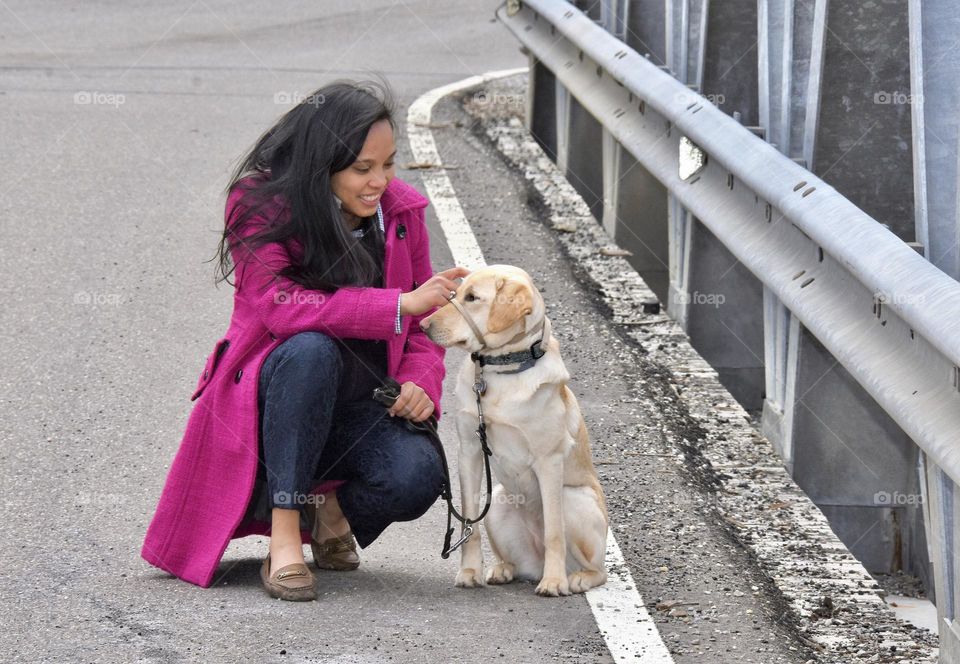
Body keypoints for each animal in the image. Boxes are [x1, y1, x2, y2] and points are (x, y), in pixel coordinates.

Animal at [420, 264, 608, 596]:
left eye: (472, 298)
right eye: (455, 293)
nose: (422, 324)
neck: (500, 370)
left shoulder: (549, 461)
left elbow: (554, 532)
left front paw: (553, 582)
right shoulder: (469, 451)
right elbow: (470, 523)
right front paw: (469, 571)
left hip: (574, 498)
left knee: (600, 570)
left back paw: (574, 577)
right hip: (498, 501)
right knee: (514, 562)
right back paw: (502, 570)